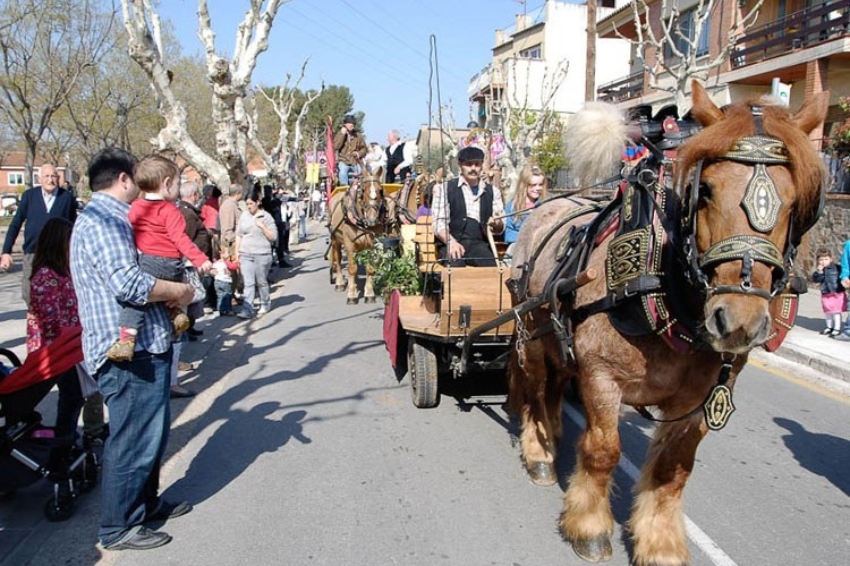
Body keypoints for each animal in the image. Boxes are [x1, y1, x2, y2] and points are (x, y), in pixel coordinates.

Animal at [326, 166, 392, 304]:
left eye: (381, 190)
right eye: (362, 190)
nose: (372, 219)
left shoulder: (372, 246)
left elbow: (370, 269)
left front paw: (369, 294)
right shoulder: (349, 245)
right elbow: (352, 269)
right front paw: (352, 295)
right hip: (335, 240)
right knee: (338, 259)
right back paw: (340, 283)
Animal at [506, 83, 824, 566]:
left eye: (795, 201)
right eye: (705, 189)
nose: (738, 320)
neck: (663, 290)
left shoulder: (700, 398)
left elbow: (673, 469)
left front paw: (659, 542)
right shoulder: (601, 375)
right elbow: (603, 450)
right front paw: (590, 526)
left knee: (556, 385)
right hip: (532, 330)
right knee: (536, 391)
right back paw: (540, 451)